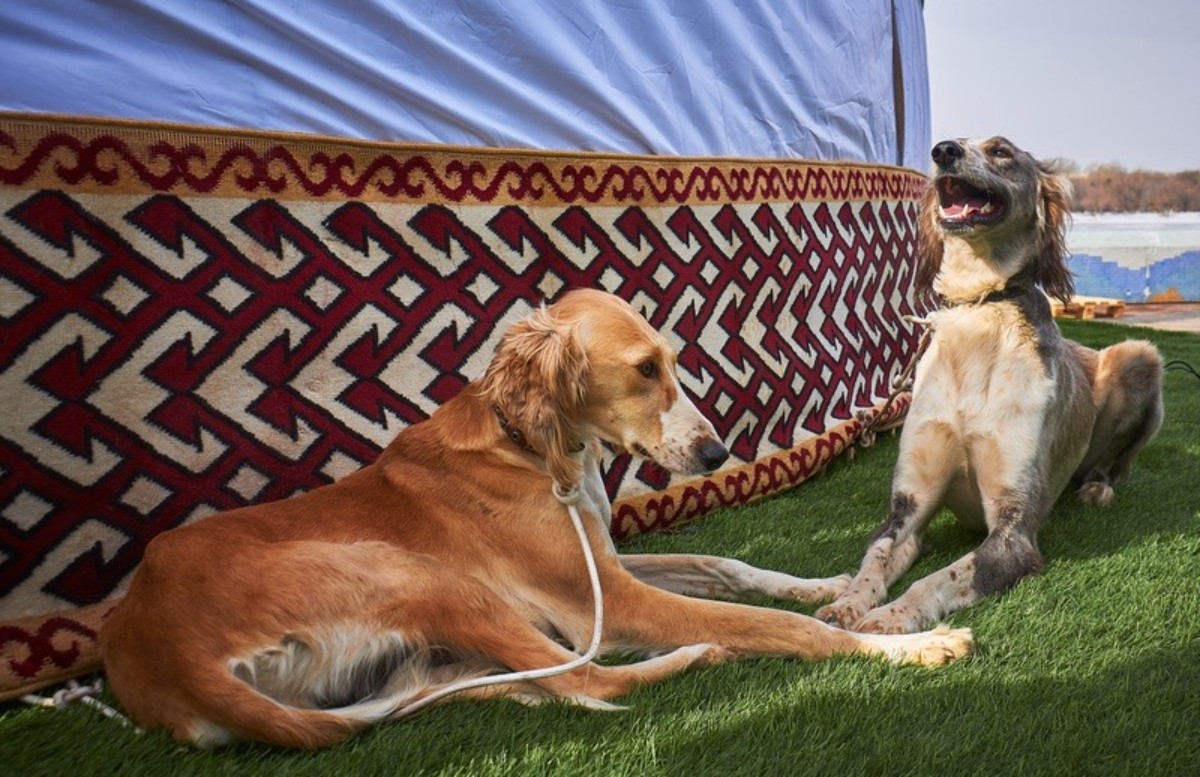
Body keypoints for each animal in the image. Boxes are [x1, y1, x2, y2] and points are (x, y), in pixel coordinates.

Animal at [103, 290, 974, 748]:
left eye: (671, 360)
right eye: (644, 369)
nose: (717, 450)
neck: (535, 449)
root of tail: (153, 647)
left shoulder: (606, 565)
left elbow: (734, 566)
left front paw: (829, 583)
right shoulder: (605, 600)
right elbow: (781, 628)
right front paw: (907, 643)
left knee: (546, 682)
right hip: (418, 573)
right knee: (589, 677)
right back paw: (699, 651)